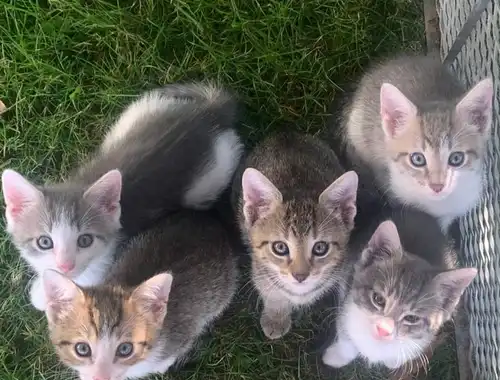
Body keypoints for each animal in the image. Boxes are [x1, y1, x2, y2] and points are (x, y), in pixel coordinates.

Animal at [1, 81, 244, 310]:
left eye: (85, 240)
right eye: (44, 242)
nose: (65, 266)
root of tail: (209, 114)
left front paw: (42, 293)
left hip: (214, 177)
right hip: (139, 111)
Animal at [43, 208, 238, 380]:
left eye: (125, 349)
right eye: (82, 349)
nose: (100, 377)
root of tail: (207, 218)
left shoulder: (183, 333)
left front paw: (161, 367)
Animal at [234, 132, 360, 340]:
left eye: (320, 248)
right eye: (280, 247)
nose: (300, 276)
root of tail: (285, 134)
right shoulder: (259, 269)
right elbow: (272, 292)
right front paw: (276, 318)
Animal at [322, 208, 478, 372]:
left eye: (412, 318)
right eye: (378, 299)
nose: (383, 329)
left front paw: (393, 361)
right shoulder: (347, 295)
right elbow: (346, 336)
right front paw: (338, 355)